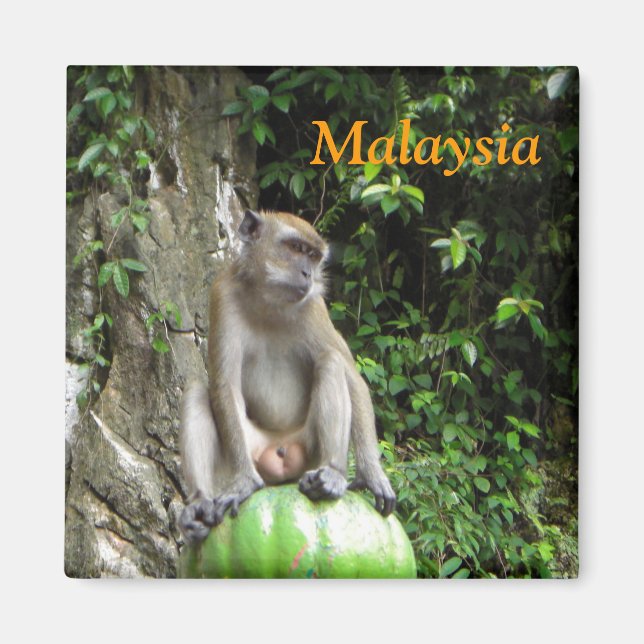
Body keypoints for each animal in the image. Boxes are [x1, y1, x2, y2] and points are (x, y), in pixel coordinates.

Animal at [178, 209, 396, 544]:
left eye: (313, 256)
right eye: (295, 248)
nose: (307, 273)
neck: (269, 302)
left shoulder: (315, 308)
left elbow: (353, 379)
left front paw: (372, 474)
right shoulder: (223, 294)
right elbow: (223, 386)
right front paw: (244, 482)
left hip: (306, 450)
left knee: (331, 362)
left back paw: (332, 475)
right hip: (251, 451)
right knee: (198, 391)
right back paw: (200, 502)